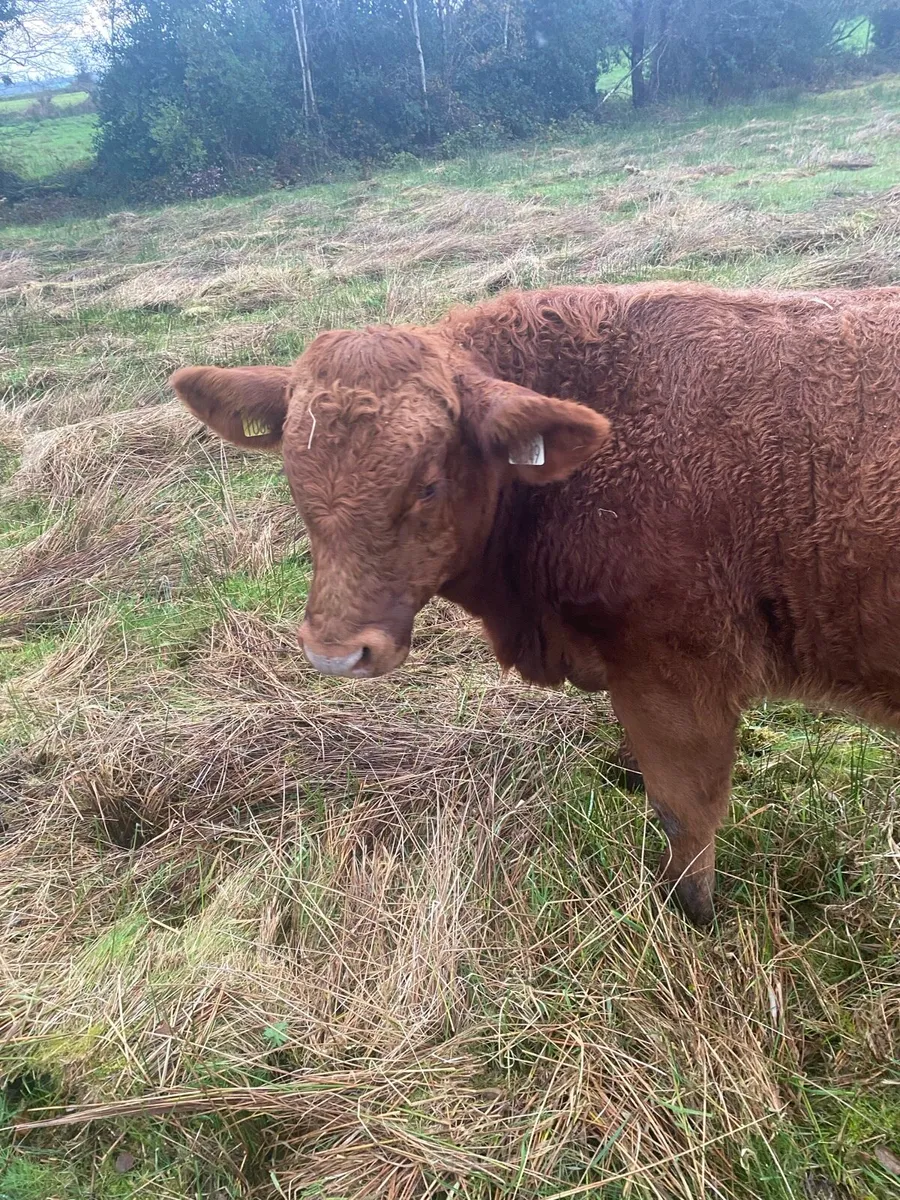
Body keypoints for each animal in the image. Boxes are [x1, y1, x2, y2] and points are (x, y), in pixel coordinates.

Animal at [171, 282, 900, 926]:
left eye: (428, 484)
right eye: (294, 479)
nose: (335, 652)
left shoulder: (679, 673)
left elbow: (683, 812)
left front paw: (688, 915)